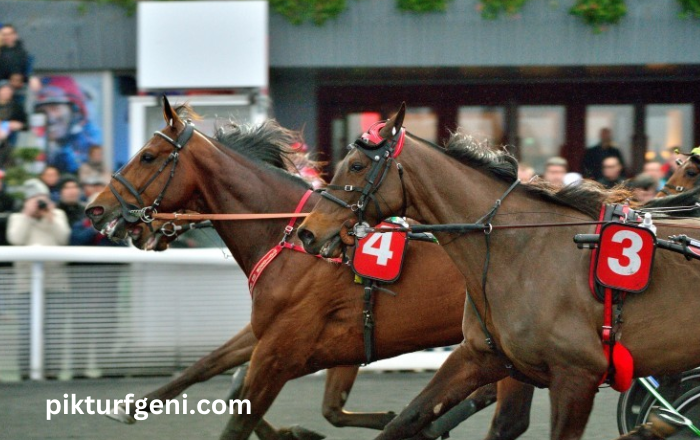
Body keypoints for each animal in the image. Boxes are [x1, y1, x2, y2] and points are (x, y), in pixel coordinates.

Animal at [86, 98, 540, 440]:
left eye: (147, 156)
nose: (95, 209)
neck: (288, 236)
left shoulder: (286, 346)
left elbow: (242, 413)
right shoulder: (282, 334)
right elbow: (214, 368)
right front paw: (132, 406)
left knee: (504, 414)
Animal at [298, 105, 700, 440]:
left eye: (356, 166)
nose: (307, 232)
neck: (521, 248)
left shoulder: (577, 374)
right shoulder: (481, 356)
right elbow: (408, 420)